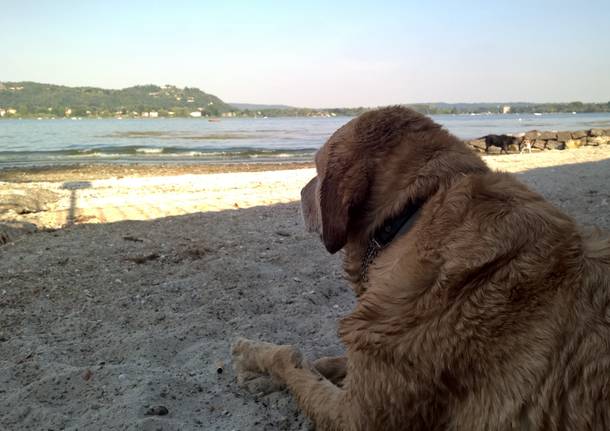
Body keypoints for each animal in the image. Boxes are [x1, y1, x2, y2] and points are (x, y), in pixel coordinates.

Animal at [230, 106, 604, 430]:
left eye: (317, 170)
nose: (299, 190)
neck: (411, 213)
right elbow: (323, 363)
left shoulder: (355, 417)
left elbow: (290, 359)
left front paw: (253, 356)